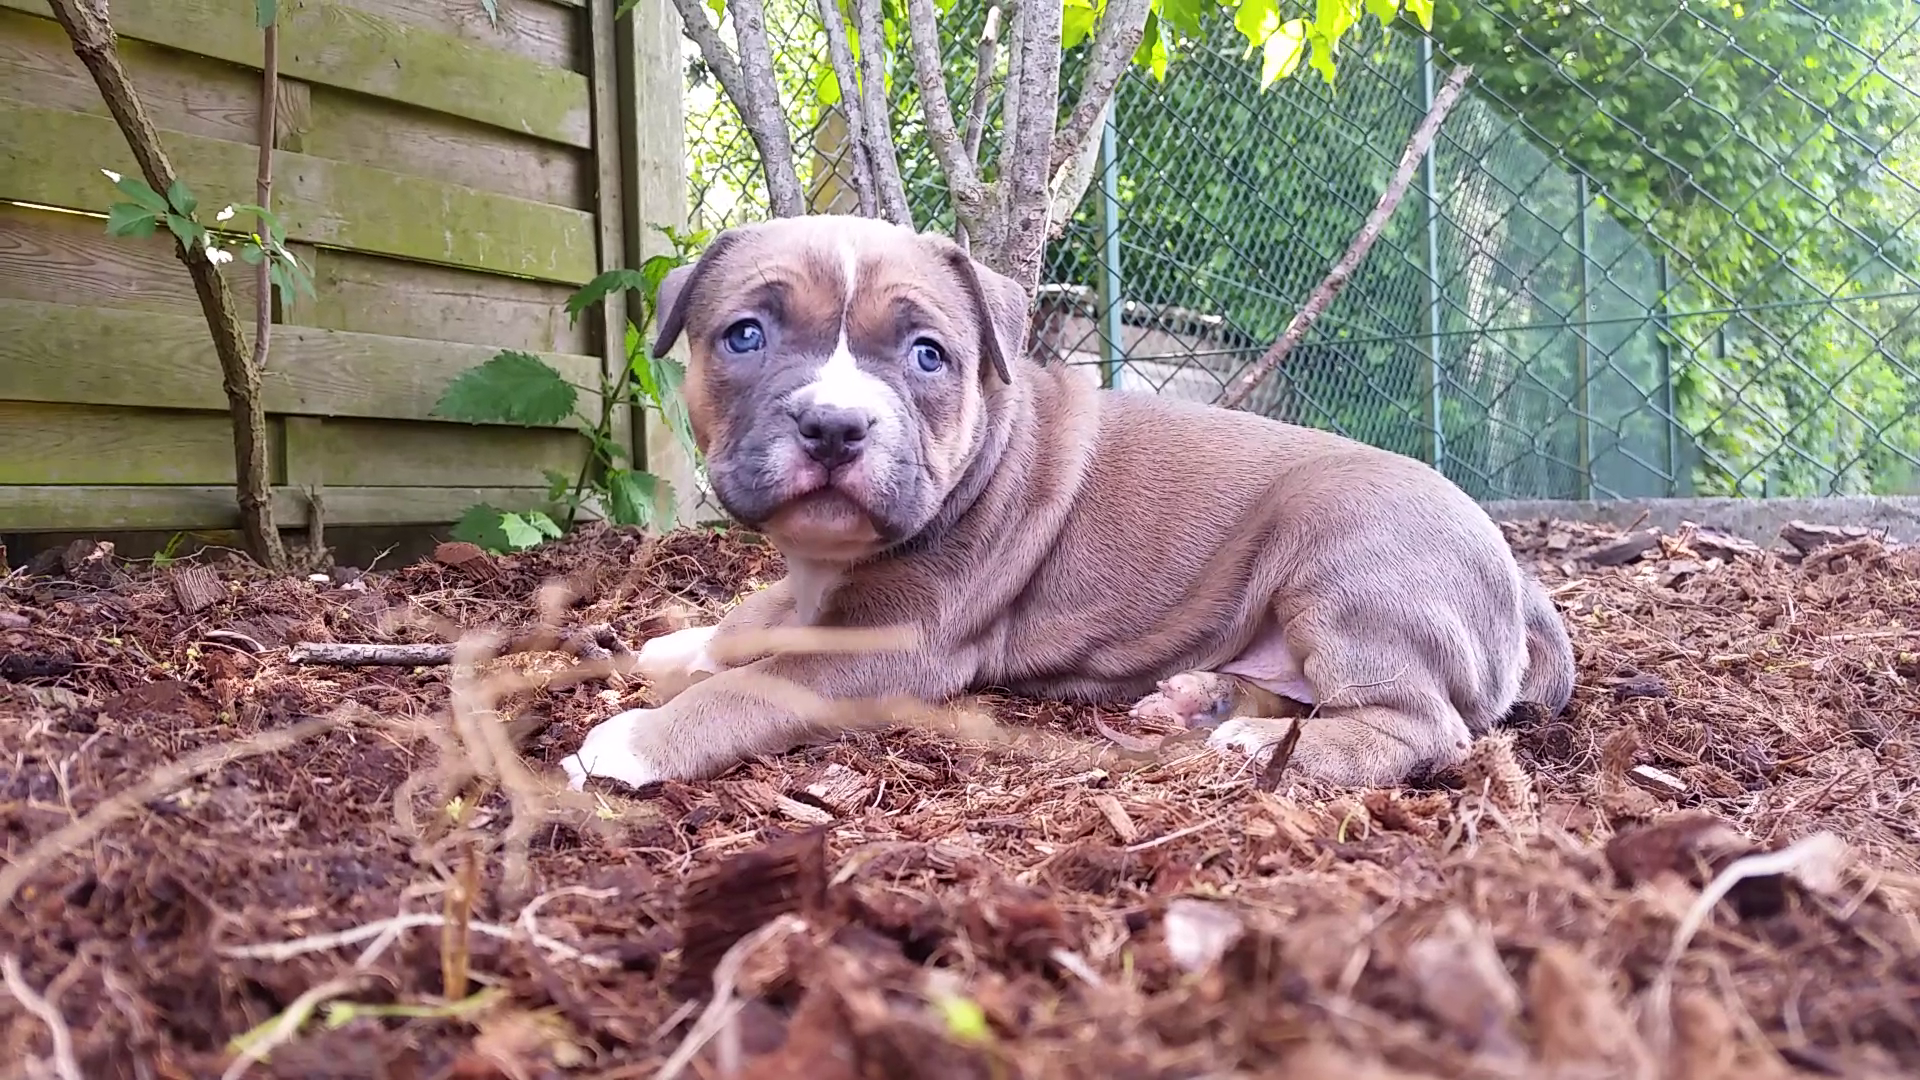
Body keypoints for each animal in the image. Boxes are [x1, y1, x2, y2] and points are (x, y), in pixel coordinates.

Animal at [560, 214, 1574, 787]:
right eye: (746, 336)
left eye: (928, 355)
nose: (836, 427)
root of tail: (1519, 580)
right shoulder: (819, 594)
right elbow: (750, 621)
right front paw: (678, 644)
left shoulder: (885, 647)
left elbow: (754, 682)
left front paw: (641, 739)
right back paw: (1203, 701)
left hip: (1345, 562)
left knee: (1422, 723)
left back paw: (1256, 746)